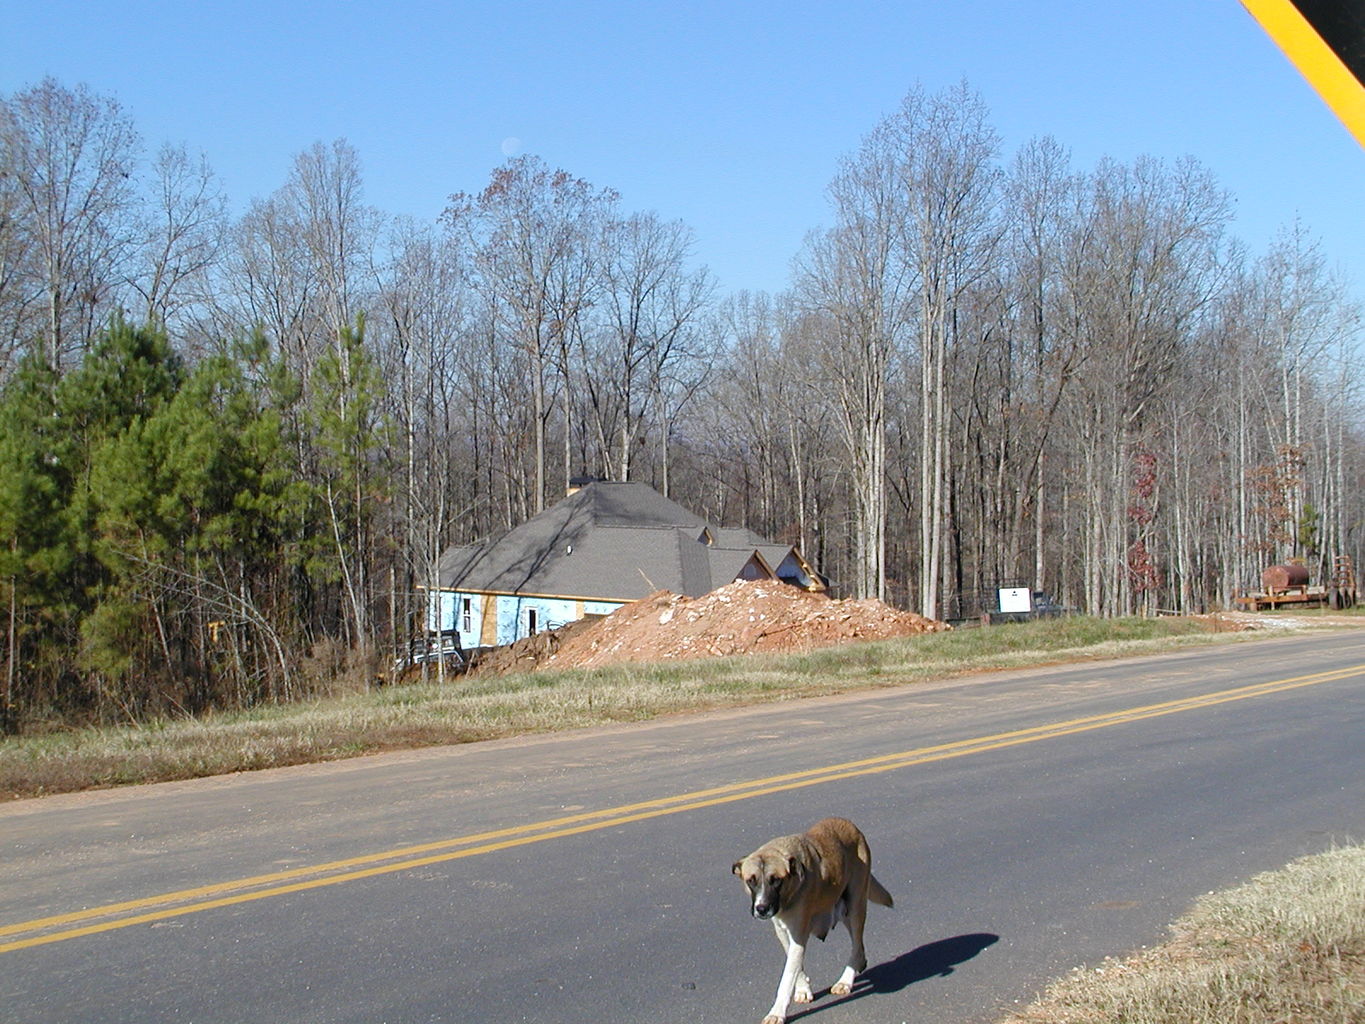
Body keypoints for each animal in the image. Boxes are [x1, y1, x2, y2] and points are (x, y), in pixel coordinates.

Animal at [737, 819, 895, 1024]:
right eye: (751, 881)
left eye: (776, 880)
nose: (762, 908)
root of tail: (851, 826)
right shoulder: (783, 931)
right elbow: (794, 963)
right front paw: (803, 988)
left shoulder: (798, 933)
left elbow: (787, 977)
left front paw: (777, 1012)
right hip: (843, 908)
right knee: (858, 946)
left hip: (855, 906)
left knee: (856, 944)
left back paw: (845, 980)